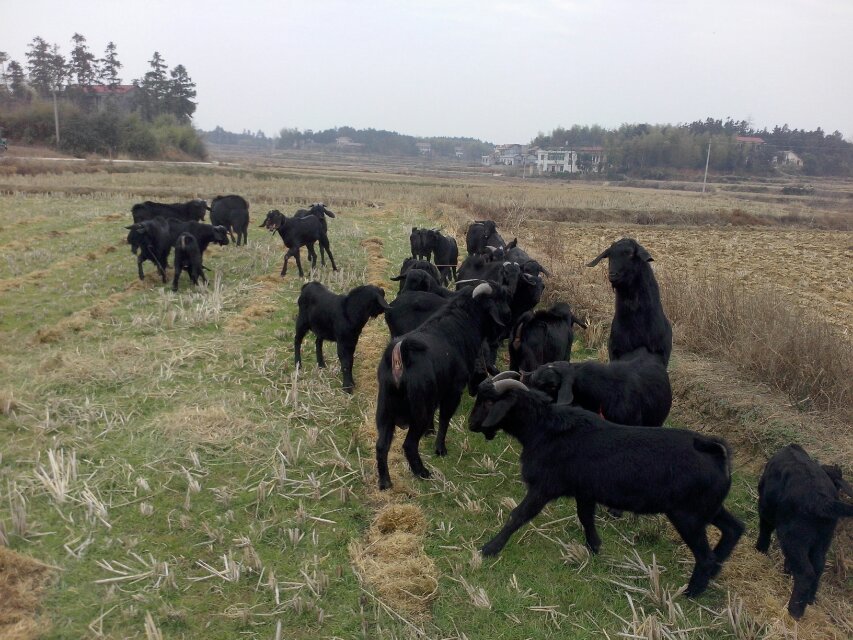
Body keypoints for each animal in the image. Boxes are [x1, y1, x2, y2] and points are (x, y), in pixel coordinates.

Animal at [374, 282, 510, 488]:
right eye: (499, 298)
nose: (506, 329)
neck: (459, 325)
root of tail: (400, 357)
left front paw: (430, 433)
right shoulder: (453, 391)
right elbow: (445, 419)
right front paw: (440, 449)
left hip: (385, 410)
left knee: (381, 445)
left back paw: (385, 482)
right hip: (417, 411)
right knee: (409, 445)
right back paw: (422, 472)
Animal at [470, 378, 744, 596]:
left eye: (488, 403)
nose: (471, 425)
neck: (543, 429)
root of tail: (716, 453)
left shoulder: (544, 488)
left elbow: (517, 515)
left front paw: (489, 548)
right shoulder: (584, 491)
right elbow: (585, 518)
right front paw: (594, 547)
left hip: (688, 516)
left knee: (706, 556)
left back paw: (691, 592)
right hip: (707, 508)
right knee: (735, 528)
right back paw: (715, 570)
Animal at [756, 442, 848, 616]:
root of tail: (823, 501)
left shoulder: (765, 508)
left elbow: (764, 530)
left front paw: (760, 551)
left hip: (793, 538)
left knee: (806, 572)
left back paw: (794, 611)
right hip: (822, 540)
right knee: (818, 567)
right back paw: (809, 600)